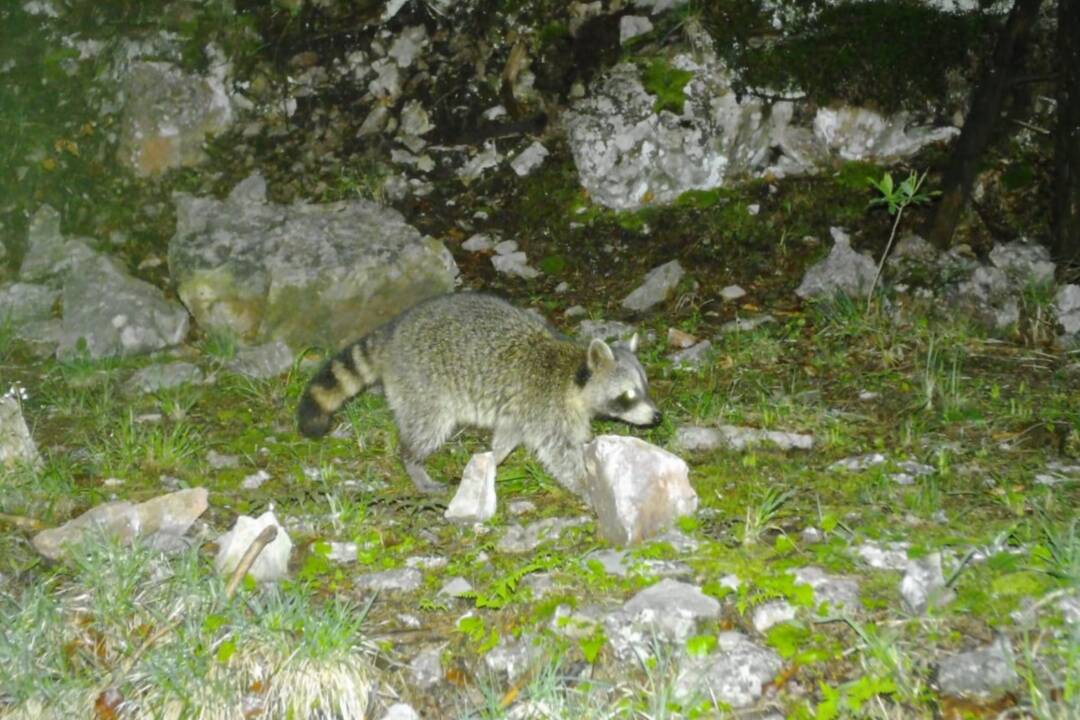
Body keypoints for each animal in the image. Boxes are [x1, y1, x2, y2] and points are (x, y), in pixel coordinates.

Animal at [300, 293, 660, 496]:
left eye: (644, 388)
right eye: (628, 395)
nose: (657, 417)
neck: (573, 373)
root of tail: (394, 331)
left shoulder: (522, 412)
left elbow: (507, 436)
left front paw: (493, 459)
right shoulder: (547, 410)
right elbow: (559, 453)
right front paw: (585, 484)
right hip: (423, 383)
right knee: (428, 426)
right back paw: (413, 460)